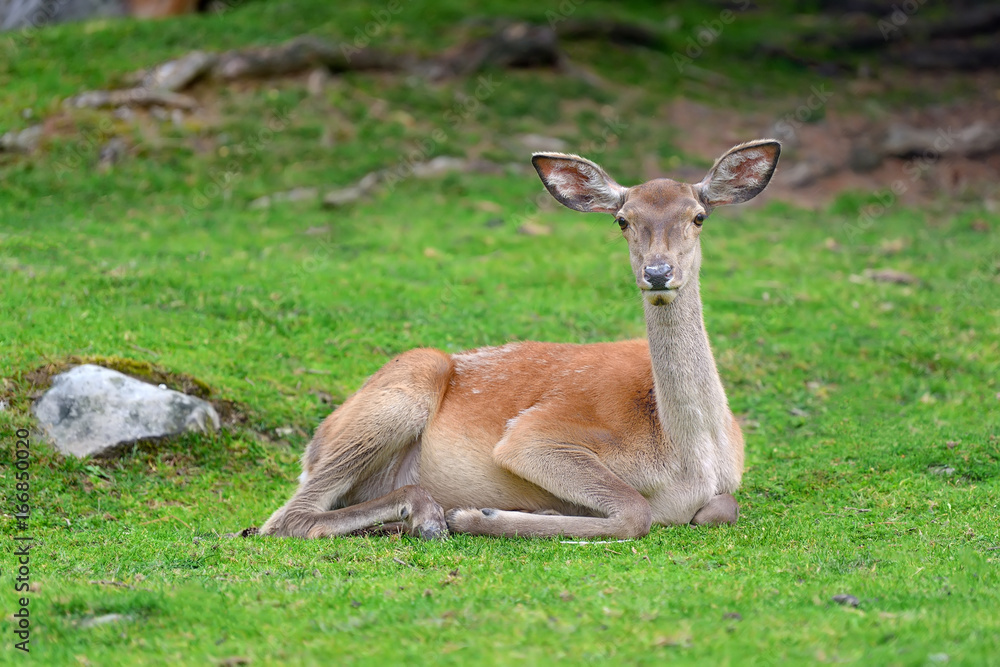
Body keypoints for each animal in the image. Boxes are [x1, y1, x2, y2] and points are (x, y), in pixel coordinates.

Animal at [262, 138, 776, 540]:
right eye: (623, 220)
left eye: (699, 216)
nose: (657, 273)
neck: (691, 456)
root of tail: (313, 445)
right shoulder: (533, 436)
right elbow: (636, 510)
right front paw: (478, 516)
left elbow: (723, 507)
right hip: (404, 384)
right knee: (285, 519)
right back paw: (427, 515)